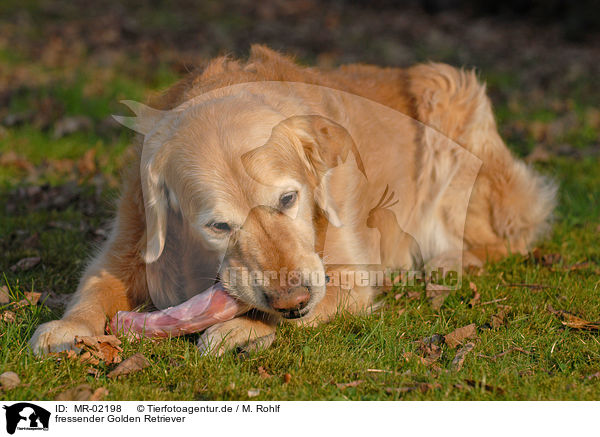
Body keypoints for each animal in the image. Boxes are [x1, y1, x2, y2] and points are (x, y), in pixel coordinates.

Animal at [27, 46, 552, 356]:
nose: (293, 299)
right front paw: (68, 326)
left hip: (446, 95)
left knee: (498, 240)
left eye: (288, 199)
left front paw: (241, 328)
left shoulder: (349, 274)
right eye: (218, 226)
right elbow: (97, 285)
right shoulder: (130, 237)